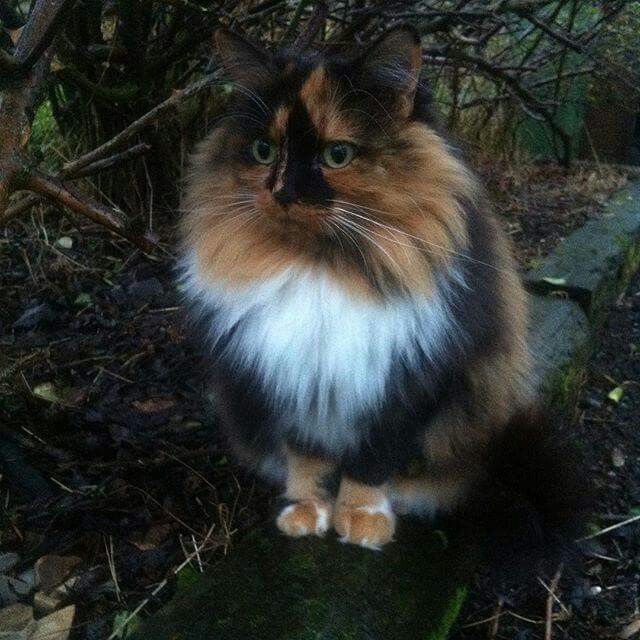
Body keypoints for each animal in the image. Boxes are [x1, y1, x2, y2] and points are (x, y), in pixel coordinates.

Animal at [179, 27, 584, 552]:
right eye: (263, 151)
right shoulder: (294, 382)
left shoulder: (409, 383)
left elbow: (372, 463)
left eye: (338, 154)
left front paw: (363, 519)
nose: (283, 193)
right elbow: (307, 459)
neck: (321, 269)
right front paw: (308, 512)